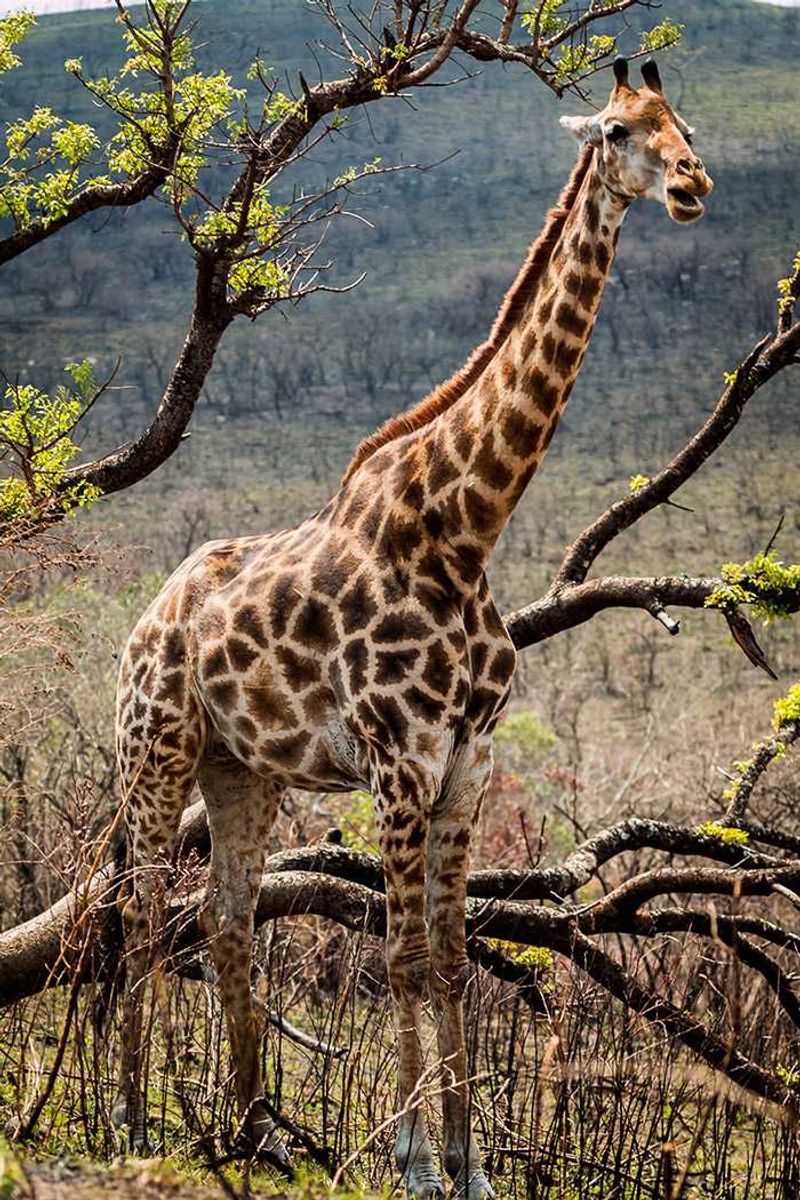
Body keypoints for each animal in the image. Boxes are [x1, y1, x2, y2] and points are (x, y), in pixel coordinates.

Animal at [112, 58, 711, 1198]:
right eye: (617, 132)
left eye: (682, 125)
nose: (692, 185)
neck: (464, 530)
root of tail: (145, 619)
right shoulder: (397, 762)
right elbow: (398, 957)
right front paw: (414, 1163)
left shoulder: (464, 764)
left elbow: (450, 958)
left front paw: (472, 1169)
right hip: (154, 750)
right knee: (132, 909)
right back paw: (131, 1120)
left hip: (240, 771)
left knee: (222, 920)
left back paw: (252, 1128)